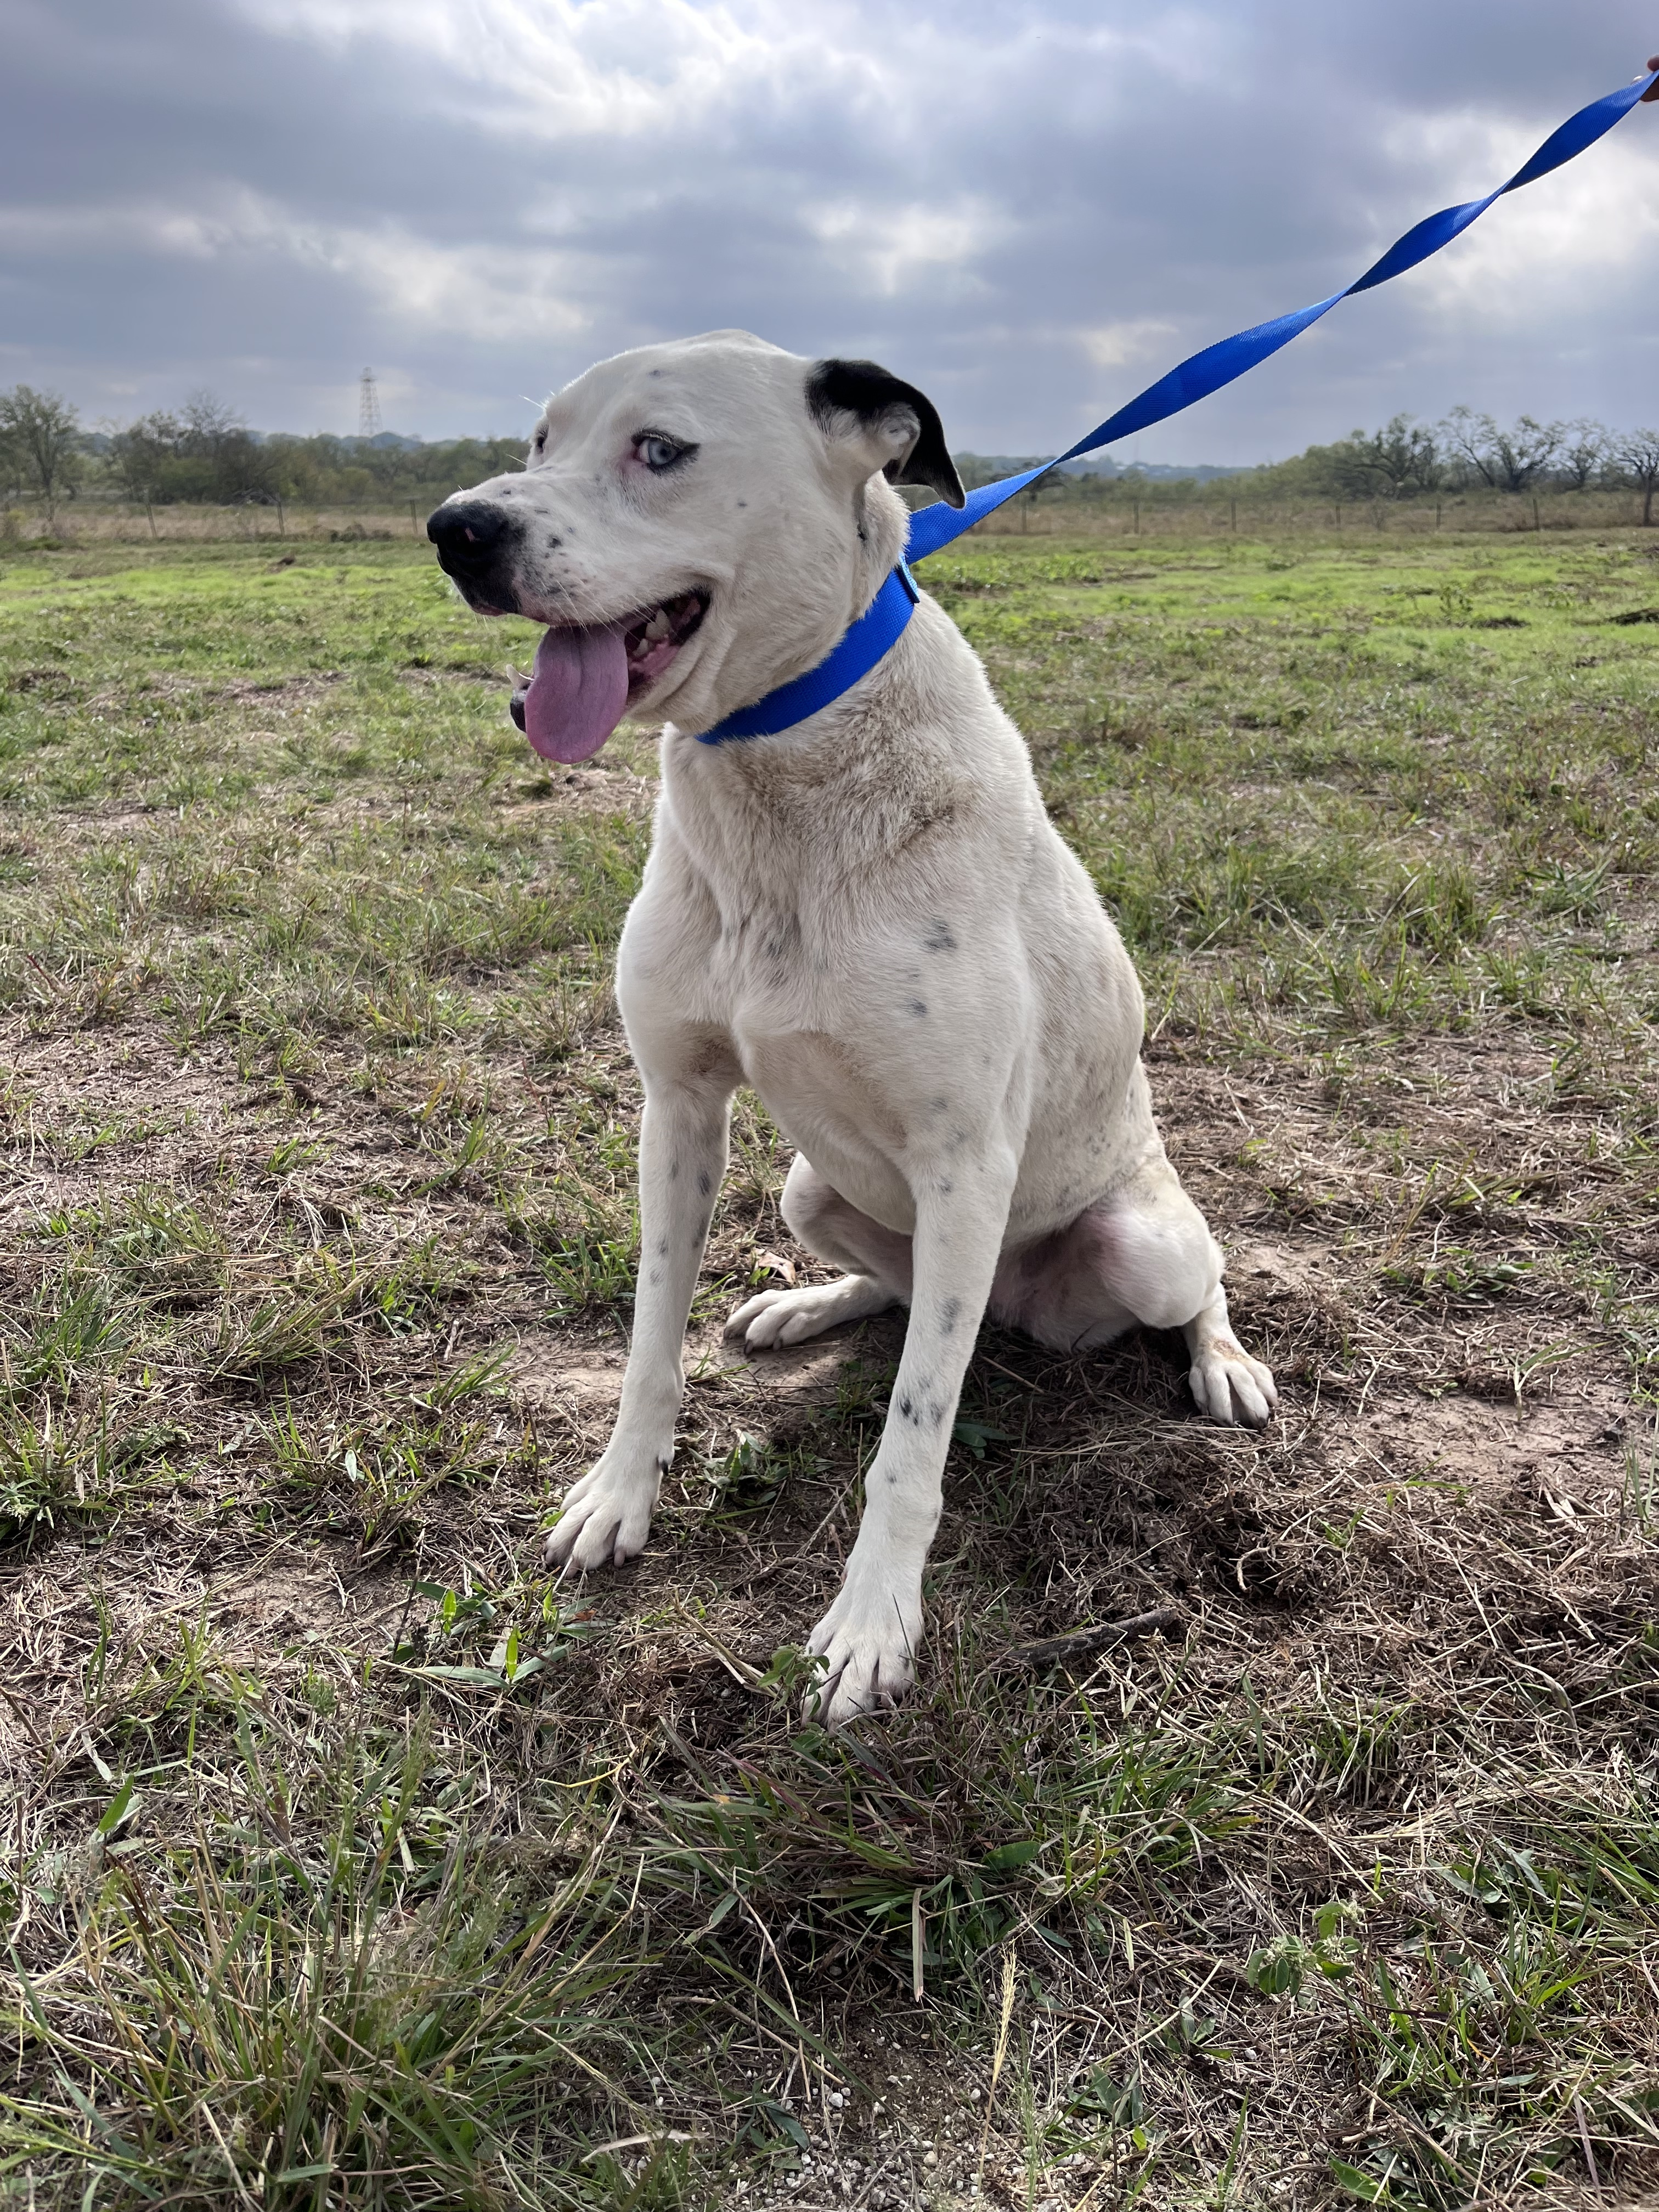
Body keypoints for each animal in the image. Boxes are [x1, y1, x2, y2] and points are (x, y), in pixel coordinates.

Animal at [425, 336, 1274, 1734]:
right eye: (540, 441)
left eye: (660, 449)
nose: (456, 531)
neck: (779, 775)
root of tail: (1024, 1313)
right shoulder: (681, 1108)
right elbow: (650, 1342)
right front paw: (620, 1495)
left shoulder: (964, 1164)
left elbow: (912, 1441)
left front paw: (870, 1629)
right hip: (808, 1184)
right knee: (900, 1285)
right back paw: (805, 1308)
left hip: (1136, 1238)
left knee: (1179, 1289)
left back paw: (1225, 1365)